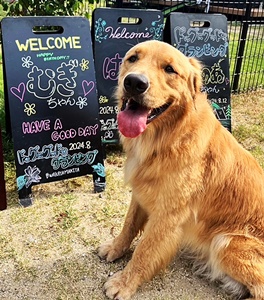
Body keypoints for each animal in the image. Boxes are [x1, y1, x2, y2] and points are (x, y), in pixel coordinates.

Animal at [98, 40, 264, 300]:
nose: (134, 83)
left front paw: (124, 283)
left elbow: (145, 250)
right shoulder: (140, 193)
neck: (167, 138)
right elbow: (129, 225)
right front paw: (115, 248)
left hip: (226, 243)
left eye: (169, 69)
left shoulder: (168, 214)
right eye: (133, 58)